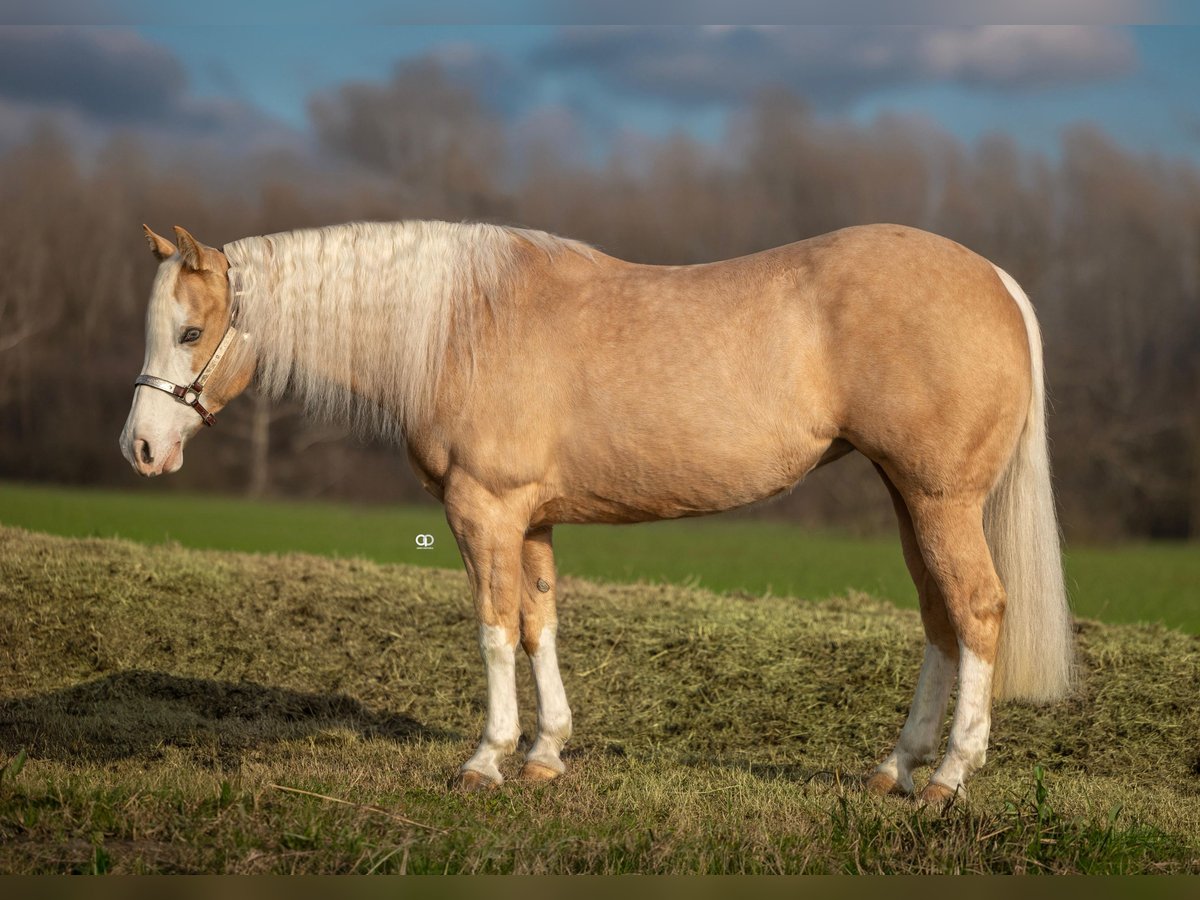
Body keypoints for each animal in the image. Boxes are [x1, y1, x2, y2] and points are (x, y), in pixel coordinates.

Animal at [124, 222, 1080, 806]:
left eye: (189, 332)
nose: (140, 448)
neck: (459, 326)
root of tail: (995, 280)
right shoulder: (532, 520)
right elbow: (539, 624)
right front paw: (545, 755)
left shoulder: (484, 512)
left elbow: (493, 631)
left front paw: (486, 760)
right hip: (909, 496)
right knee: (940, 619)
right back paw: (896, 769)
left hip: (940, 499)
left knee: (978, 609)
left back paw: (951, 776)